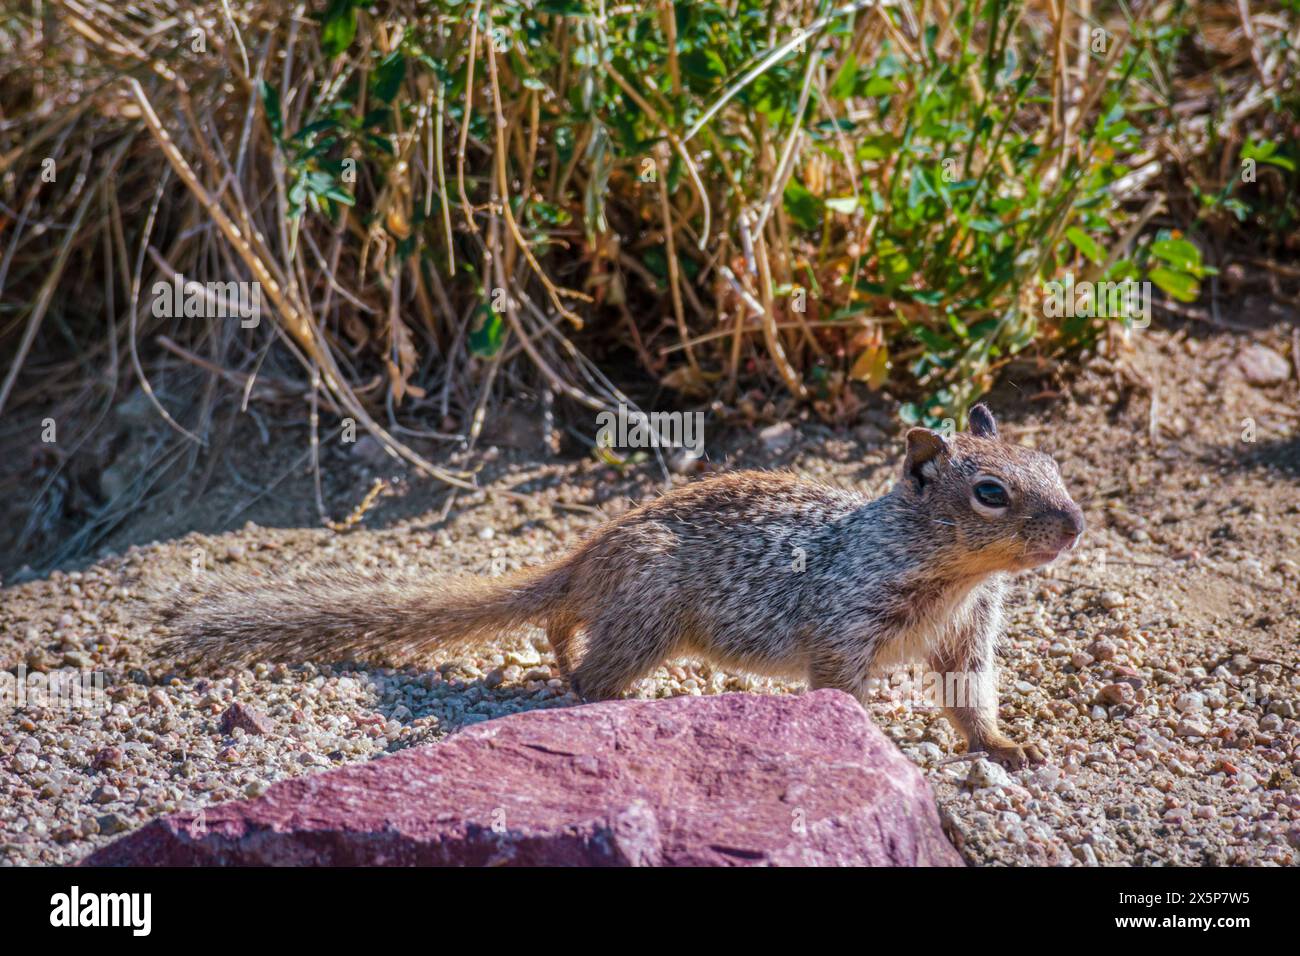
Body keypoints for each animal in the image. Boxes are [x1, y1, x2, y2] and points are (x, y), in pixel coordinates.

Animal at [162, 403, 1081, 770]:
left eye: (1053, 463)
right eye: (990, 491)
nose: (1074, 525)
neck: (957, 577)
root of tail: (588, 550)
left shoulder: (970, 637)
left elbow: (971, 701)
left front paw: (1007, 746)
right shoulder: (848, 625)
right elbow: (844, 695)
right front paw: (877, 745)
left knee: (562, 630)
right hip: (649, 622)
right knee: (588, 674)